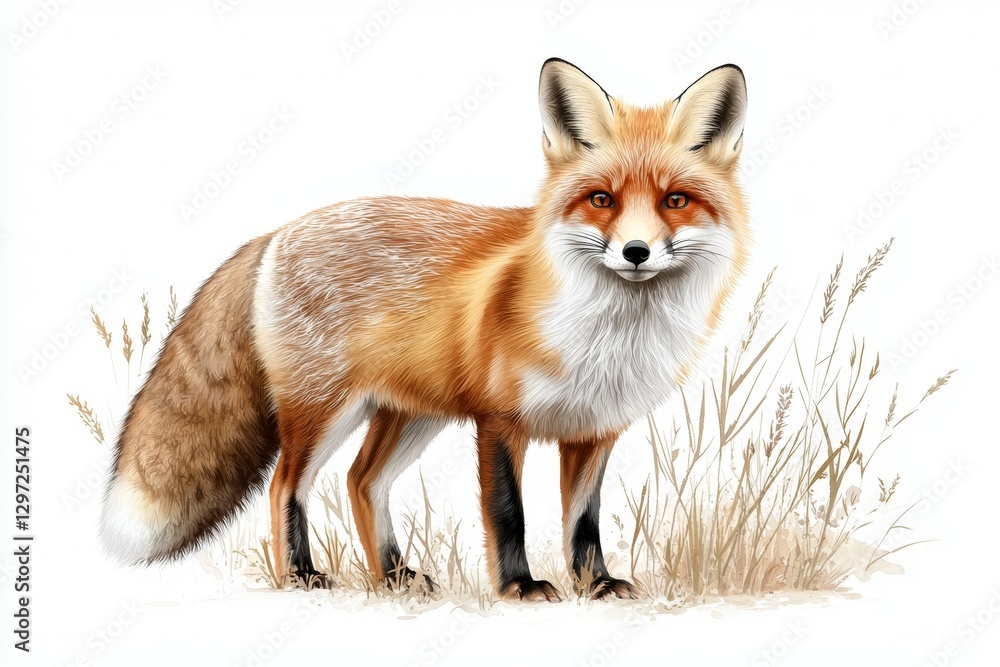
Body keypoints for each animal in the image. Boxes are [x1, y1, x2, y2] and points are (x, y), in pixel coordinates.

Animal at [99, 58, 750, 601]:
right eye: (601, 200)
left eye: (675, 200)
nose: (636, 252)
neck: (608, 339)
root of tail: (278, 231)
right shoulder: (498, 421)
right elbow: (508, 513)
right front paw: (519, 587)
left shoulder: (595, 430)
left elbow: (582, 523)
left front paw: (596, 585)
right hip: (323, 409)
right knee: (285, 484)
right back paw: (301, 576)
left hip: (410, 415)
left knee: (362, 482)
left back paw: (392, 576)